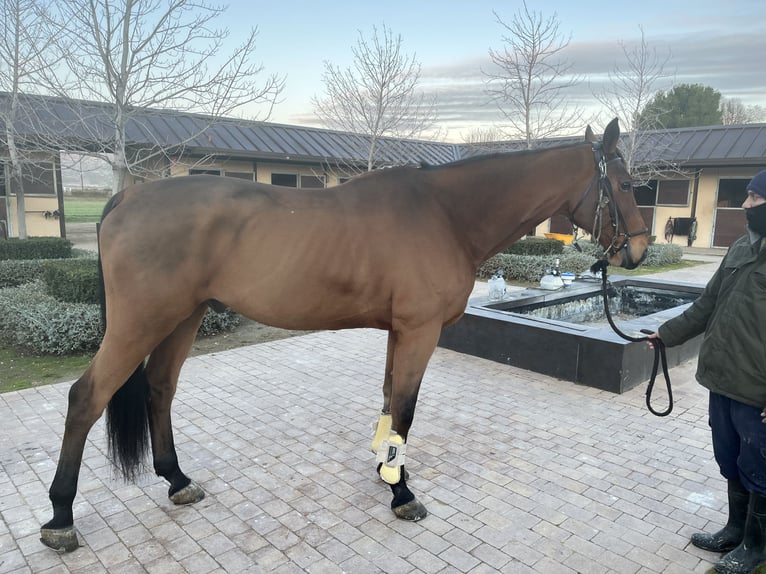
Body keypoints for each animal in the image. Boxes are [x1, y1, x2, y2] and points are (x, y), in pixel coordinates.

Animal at [40, 118, 649, 552]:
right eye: (623, 183)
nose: (639, 251)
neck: (445, 214)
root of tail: (128, 197)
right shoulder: (420, 331)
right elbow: (406, 408)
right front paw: (402, 492)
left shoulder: (399, 330)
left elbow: (388, 400)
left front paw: (386, 469)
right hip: (141, 322)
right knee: (85, 398)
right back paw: (61, 517)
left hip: (183, 318)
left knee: (160, 388)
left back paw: (176, 479)